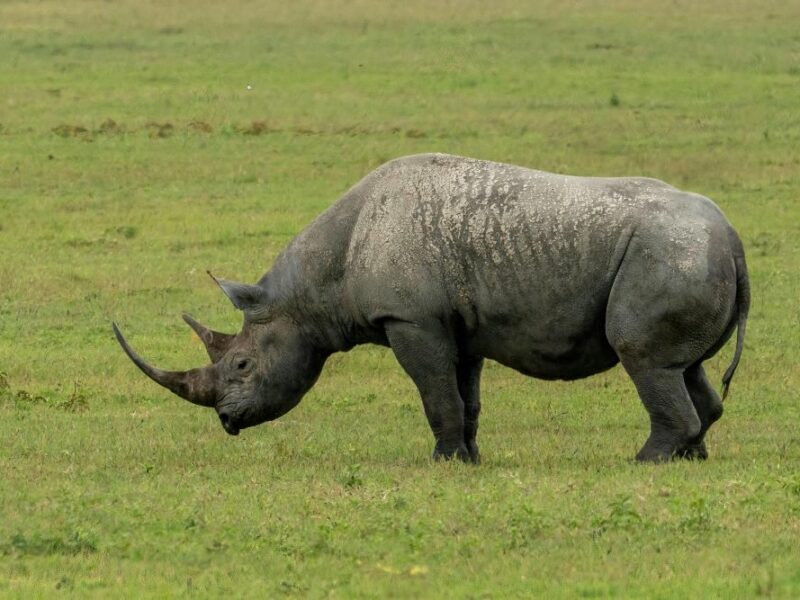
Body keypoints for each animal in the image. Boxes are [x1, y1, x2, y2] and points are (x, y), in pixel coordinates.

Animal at [114, 153, 749, 463]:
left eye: (242, 365)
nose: (226, 420)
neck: (316, 287)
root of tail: (732, 235)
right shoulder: (457, 325)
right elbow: (465, 398)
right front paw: (469, 458)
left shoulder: (411, 319)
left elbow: (435, 395)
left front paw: (442, 462)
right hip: (681, 251)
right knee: (682, 366)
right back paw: (692, 457)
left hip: (668, 251)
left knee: (644, 358)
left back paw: (646, 461)